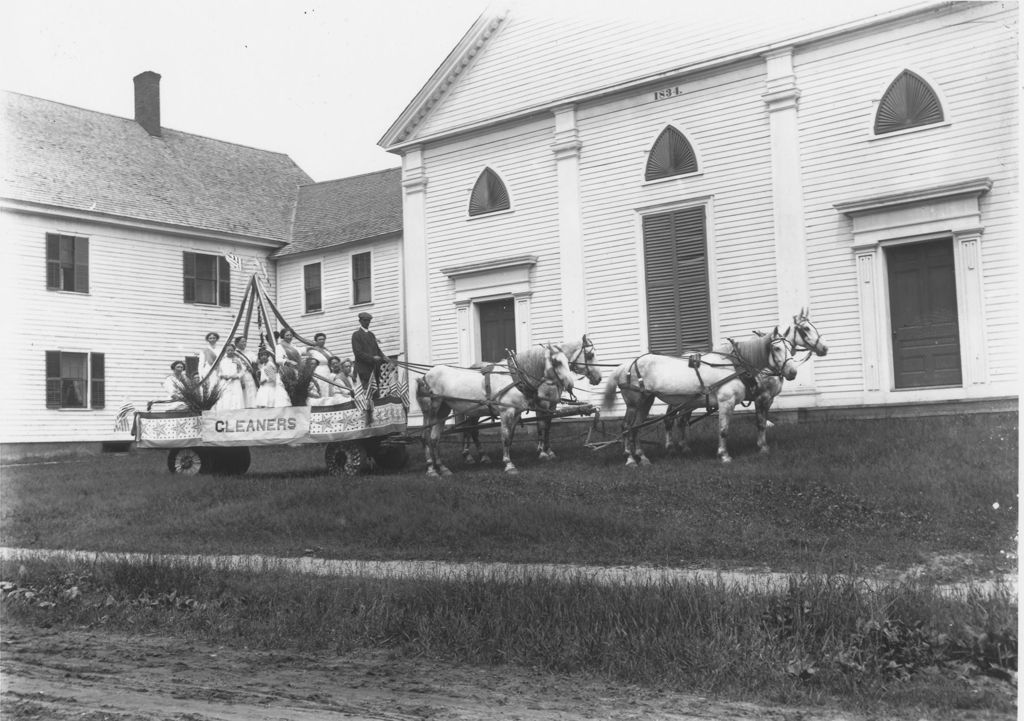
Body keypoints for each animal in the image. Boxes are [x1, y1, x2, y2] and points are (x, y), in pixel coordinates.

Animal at [415, 344, 577, 479]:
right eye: (557, 362)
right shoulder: (507, 412)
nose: (570, 384)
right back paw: (432, 469)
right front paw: (509, 464)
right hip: (431, 410)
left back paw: (443, 468)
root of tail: (425, 376)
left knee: (436, 438)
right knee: (426, 437)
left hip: (444, 410)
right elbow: (505, 436)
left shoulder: (516, 413)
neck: (514, 377)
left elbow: (510, 437)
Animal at [460, 335, 602, 464]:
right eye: (590, 355)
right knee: (470, 429)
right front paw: (542, 452)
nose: (599, 378)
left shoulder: (552, 405)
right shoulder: (542, 404)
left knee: (469, 428)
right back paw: (474, 455)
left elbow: (547, 427)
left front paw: (547, 450)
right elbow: (541, 425)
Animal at [598, 327, 798, 467]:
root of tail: (625, 365)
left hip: (646, 401)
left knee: (637, 428)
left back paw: (643, 457)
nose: (792, 372)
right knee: (628, 427)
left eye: (792, 348)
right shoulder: (728, 401)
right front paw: (724, 455)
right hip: (634, 403)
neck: (733, 365)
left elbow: (760, 424)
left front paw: (763, 448)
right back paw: (631, 459)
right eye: (776, 348)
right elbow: (723, 430)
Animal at [667, 307, 827, 452]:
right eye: (806, 328)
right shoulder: (761, 397)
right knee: (675, 419)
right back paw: (675, 445)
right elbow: (760, 423)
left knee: (680, 420)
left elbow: (763, 422)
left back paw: (682, 445)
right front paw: (762, 446)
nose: (824, 348)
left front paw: (762, 444)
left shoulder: (769, 399)